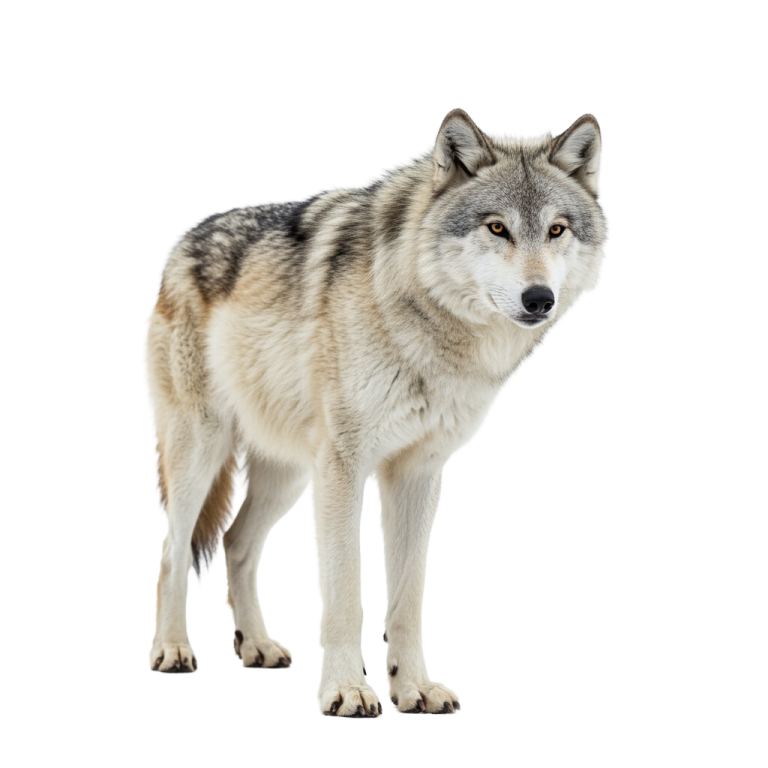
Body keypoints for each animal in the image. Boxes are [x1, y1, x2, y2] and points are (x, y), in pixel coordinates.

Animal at [142, 109, 609, 717]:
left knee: (236, 545)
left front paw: (413, 688)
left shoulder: (417, 473)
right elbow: (345, 591)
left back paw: (258, 646)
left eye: (556, 230)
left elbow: (407, 599)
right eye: (496, 228)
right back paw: (173, 650)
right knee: (173, 550)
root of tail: (178, 242)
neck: (428, 326)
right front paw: (346, 691)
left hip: (288, 473)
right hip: (202, 453)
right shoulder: (344, 468)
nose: (539, 299)